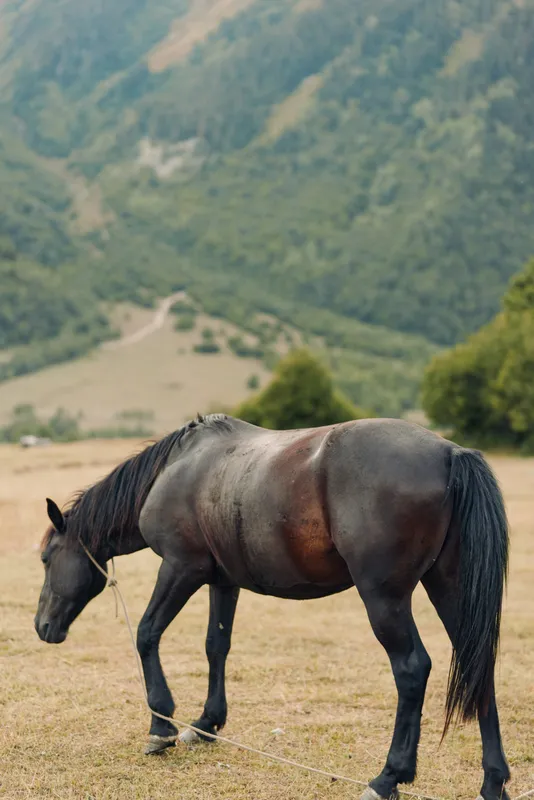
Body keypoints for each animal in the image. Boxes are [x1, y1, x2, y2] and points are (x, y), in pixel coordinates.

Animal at [35, 414, 510, 800]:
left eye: (45, 558)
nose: (42, 626)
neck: (177, 469)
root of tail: (449, 453)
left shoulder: (180, 568)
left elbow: (147, 634)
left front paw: (161, 727)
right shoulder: (222, 581)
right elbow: (216, 647)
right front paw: (206, 723)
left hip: (384, 598)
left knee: (412, 669)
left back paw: (388, 777)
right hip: (449, 589)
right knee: (478, 664)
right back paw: (493, 781)